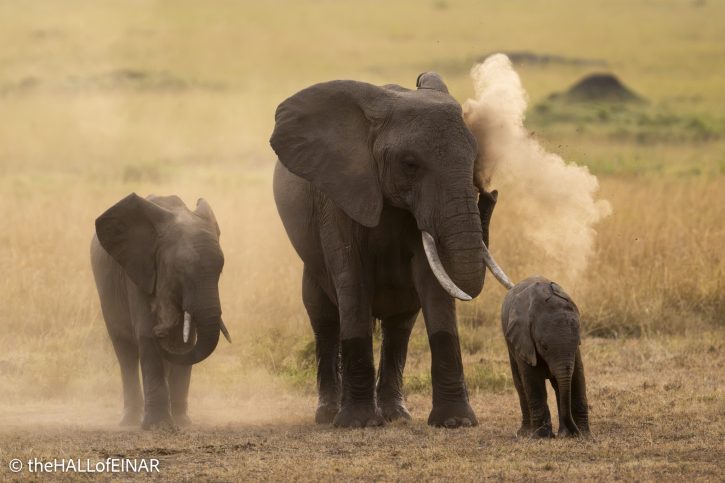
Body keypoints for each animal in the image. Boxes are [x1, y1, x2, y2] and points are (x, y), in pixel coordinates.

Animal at [90, 193, 230, 430]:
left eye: (220, 270)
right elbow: (147, 336)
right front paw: (158, 426)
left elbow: (185, 343)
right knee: (125, 352)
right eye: (179, 270)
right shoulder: (140, 272)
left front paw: (182, 423)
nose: (162, 329)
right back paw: (129, 421)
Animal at [270, 71, 501, 428]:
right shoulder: (337, 196)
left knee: (399, 326)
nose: (490, 193)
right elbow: (352, 280)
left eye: (474, 158)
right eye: (410, 164)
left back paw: (396, 415)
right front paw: (357, 423)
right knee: (323, 317)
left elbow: (433, 283)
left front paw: (455, 422)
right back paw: (328, 415)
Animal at [500, 276, 590, 438]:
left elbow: (577, 376)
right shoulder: (524, 340)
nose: (576, 433)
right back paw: (524, 433)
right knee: (520, 384)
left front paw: (584, 434)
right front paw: (542, 437)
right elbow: (532, 380)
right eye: (544, 346)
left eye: (577, 342)